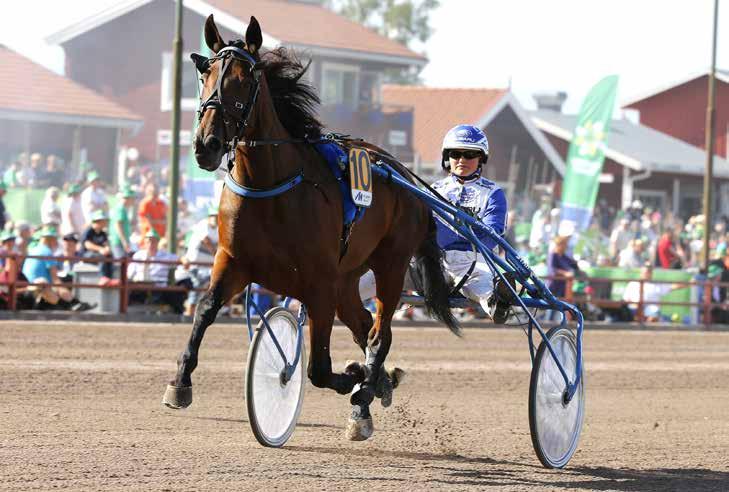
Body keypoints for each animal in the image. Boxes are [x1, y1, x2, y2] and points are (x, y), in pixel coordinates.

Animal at [163, 13, 458, 440]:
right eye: (205, 74)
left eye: (244, 79)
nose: (207, 144)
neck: (269, 188)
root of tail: (405, 176)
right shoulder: (233, 261)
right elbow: (204, 310)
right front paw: (180, 383)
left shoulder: (318, 283)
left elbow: (318, 369)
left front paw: (352, 378)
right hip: (348, 278)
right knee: (364, 326)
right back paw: (378, 384)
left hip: (390, 264)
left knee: (379, 334)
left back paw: (363, 397)